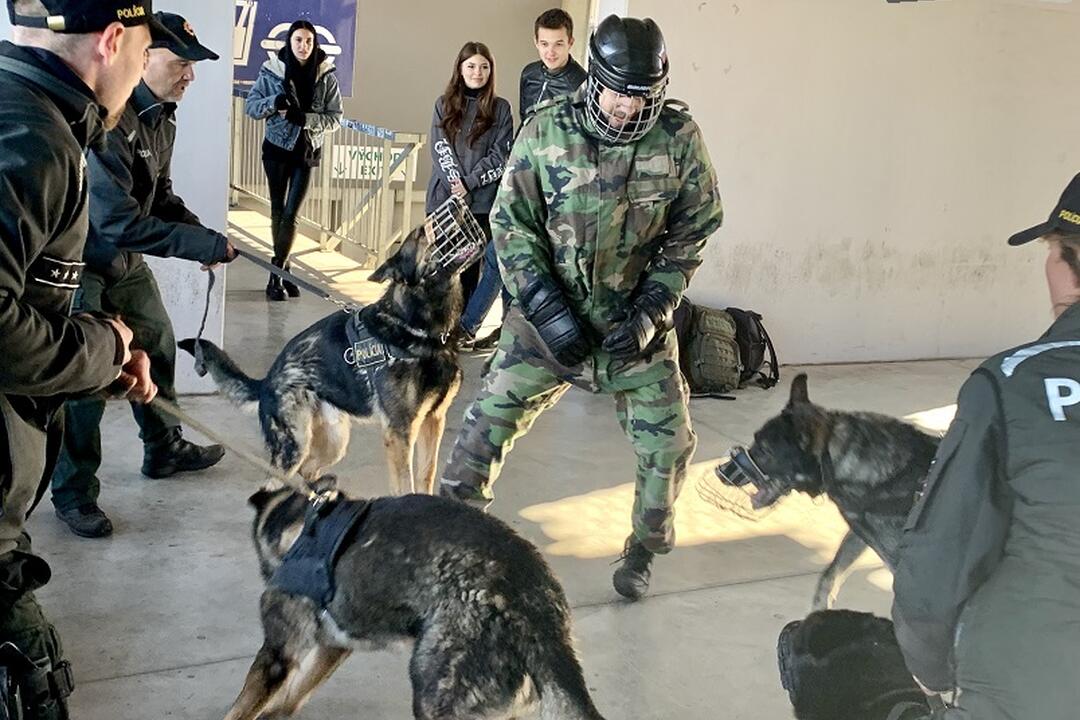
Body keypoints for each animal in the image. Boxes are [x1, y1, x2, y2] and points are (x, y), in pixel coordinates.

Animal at [179, 199, 483, 498]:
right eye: (422, 233)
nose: (461, 201)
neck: (420, 327)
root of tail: (267, 380)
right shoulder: (400, 432)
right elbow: (406, 487)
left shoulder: (434, 421)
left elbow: (426, 476)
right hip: (296, 445)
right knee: (273, 485)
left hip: (334, 442)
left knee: (307, 472)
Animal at [224, 483, 609, 720]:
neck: (302, 523)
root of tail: (540, 615)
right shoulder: (333, 647)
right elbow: (295, 694)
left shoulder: (277, 656)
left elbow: (242, 707)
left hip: (436, 694)